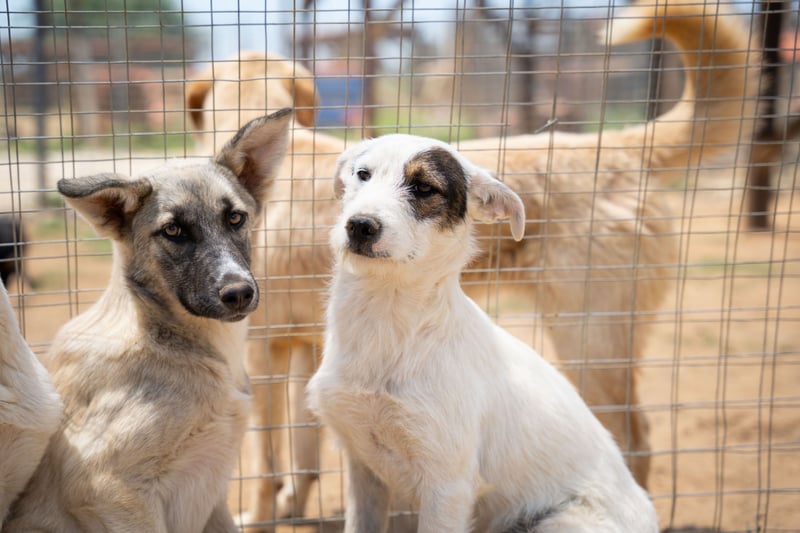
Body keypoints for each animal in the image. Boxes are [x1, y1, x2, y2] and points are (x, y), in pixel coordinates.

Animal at [307, 134, 660, 533]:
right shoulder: (362, 467)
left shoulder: (448, 485)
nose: (360, 225)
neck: (386, 322)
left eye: (424, 187)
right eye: (363, 174)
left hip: (559, 520)